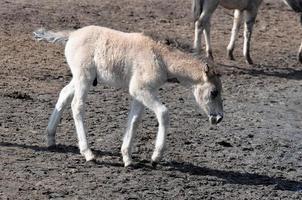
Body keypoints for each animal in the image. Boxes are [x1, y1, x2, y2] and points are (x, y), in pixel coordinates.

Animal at [33, 25, 223, 167]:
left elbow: (134, 120)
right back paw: (88, 153)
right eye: (213, 92)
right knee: (77, 106)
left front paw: (127, 158)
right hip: (83, 78)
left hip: (80, 79)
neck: (160, 57)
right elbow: (163, 113)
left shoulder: (141, 94)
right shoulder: (141, 90)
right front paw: (156, 157)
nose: (219, 118)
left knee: (64, 94)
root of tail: (72, 35)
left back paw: (50, 138)